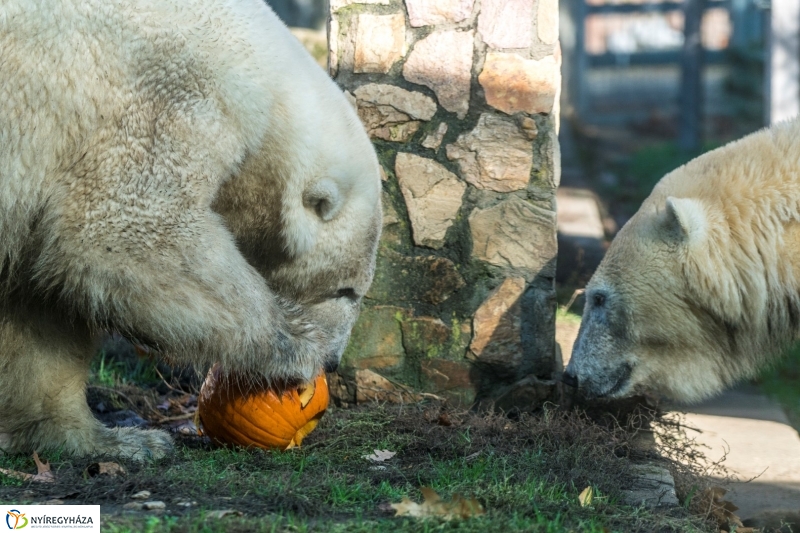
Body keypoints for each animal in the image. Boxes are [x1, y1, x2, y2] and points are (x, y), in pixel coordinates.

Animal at [0, 0, 382, 460]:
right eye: (346, 290)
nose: (334, 362)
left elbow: (39, 302)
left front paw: (100, 438)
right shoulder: (166, 100)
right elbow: (122, 233)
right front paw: (294, 347)